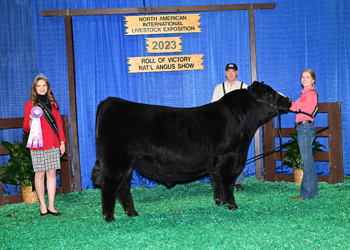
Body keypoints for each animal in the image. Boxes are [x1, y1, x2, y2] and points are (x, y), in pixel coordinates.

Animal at [91, 81, 292, 222]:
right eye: (268, 94)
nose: (288, 100)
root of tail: (112, 101)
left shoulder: (215, 163)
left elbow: (216, 182)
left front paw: (219, 202)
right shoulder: (230, 159)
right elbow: (227, 184)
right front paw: (232, 206)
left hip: (127, 164)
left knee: (123, 187)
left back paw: (132, 213)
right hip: (116, 161)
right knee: (110, 186)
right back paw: (109, 218)